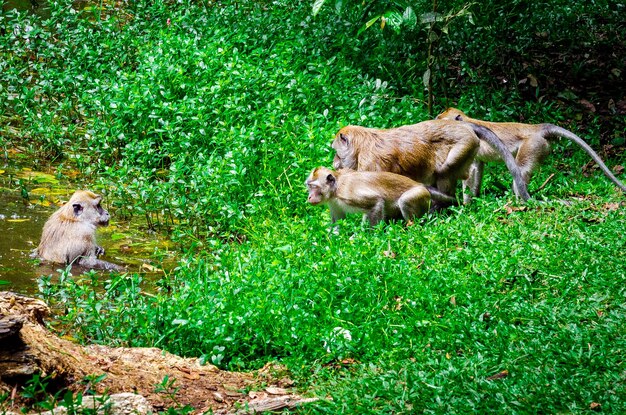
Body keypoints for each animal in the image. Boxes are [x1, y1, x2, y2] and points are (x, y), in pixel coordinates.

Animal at [306, 166, 456, 226]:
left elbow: (376, 202)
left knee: (405, 201)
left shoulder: (347, 194)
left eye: (314, 187)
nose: (309, 197)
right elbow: (338, 220)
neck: (335, 190)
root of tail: (420, 184)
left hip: (419, 195)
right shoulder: (333, 202)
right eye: (308, 186)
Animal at [330, 118, 528, 205]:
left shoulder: (369, 164)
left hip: (465, 145)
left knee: (443, 172)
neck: (363, 145)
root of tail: (463, 125)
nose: (334, 163)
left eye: (337, 153)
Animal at [434, 107, 624, 203]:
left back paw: (521, 204)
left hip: (533, 145)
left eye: (439, 118)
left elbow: (469, 172)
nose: (433, 121)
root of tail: (536, 128)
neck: (467, 121)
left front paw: (465, 204)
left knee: (521, 171)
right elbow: (477, 168)